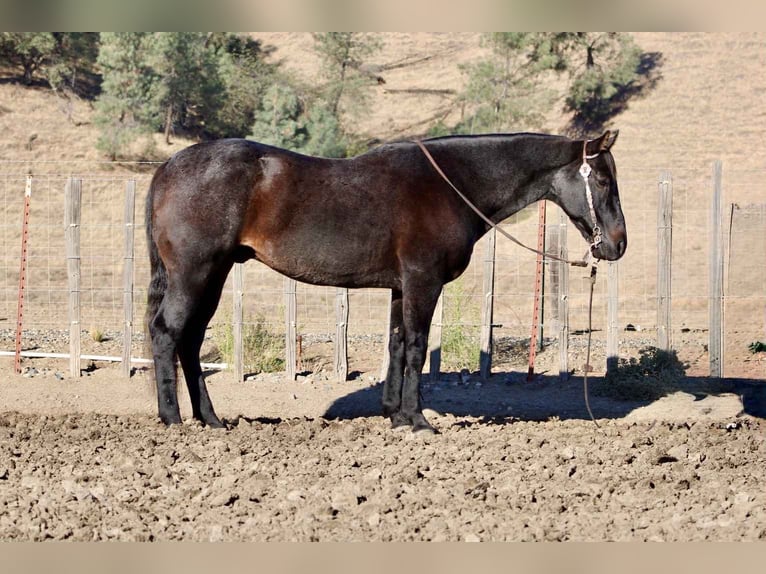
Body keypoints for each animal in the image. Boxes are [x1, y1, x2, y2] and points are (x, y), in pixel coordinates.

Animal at [145, 130, 626, 433]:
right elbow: (416, 346)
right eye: (603, 179)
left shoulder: (400, 286)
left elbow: (396, 344)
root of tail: (170, 166)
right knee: (167, 333)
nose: (618, 243)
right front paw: (418, 420)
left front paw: (395, 414)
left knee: (190, 340)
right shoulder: (422, 282)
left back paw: (210, 419)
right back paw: (173, 419)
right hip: (195, 273)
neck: (450, 184)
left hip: (214, 274)